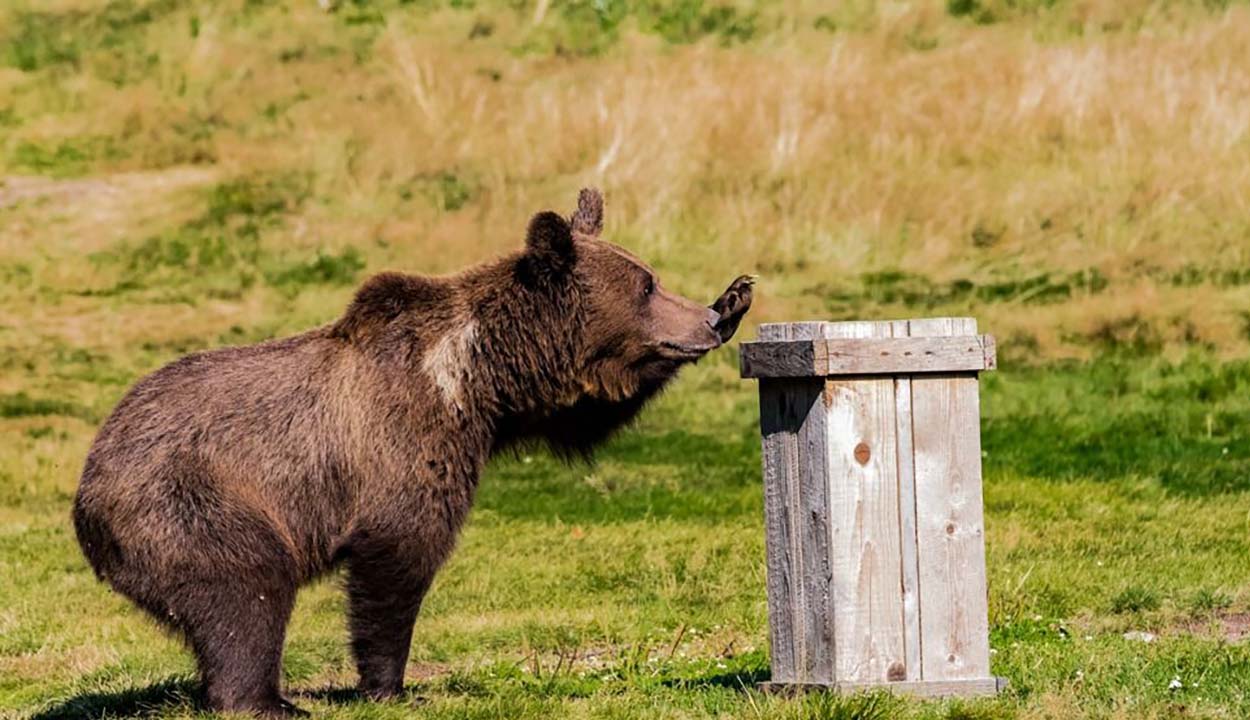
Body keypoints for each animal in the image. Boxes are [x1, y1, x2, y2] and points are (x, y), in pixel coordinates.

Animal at [75, 188, 750, 715]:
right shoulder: (406, 437)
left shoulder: (516, 408)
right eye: (647, 285)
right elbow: (401, 553)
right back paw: (267, 700)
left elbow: (582, 417)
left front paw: (738, 296)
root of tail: (88, 487)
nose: (702, 322)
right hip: (194, 503)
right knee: (245, 588)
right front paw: (390, 685)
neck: (476, 375)